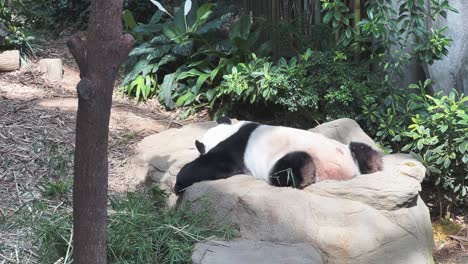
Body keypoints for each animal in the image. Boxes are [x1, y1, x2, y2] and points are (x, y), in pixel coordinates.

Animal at [174, 118, 382, 194]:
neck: (227, 132)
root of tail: (345, 171)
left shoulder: (232, 150)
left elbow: (211, 165)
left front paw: (178, 184)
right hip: (347, 151)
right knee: (360, 148)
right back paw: (375, 163)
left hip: (285, 159)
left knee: (291, 166)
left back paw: (305, 175)